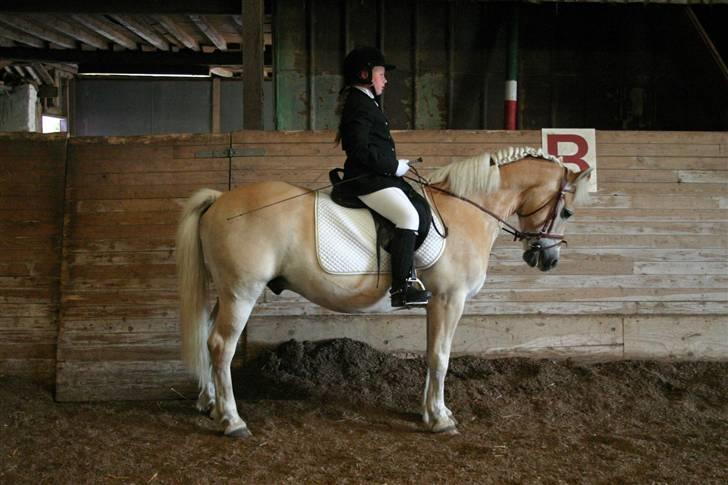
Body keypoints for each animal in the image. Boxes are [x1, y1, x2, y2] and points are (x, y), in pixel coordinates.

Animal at [176, 146, 592, 436]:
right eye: (567, 212)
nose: (547, 259)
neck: (465, 210)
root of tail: (219, 200)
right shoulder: (450, 300)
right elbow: (441, 357)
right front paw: (441, 420)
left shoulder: (434, 304)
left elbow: (431, 355)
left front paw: (430, 412)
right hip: (242, 293)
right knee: (221, 346)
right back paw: (232, 421)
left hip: (228, 293)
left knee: (208, 337)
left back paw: (209, 403)